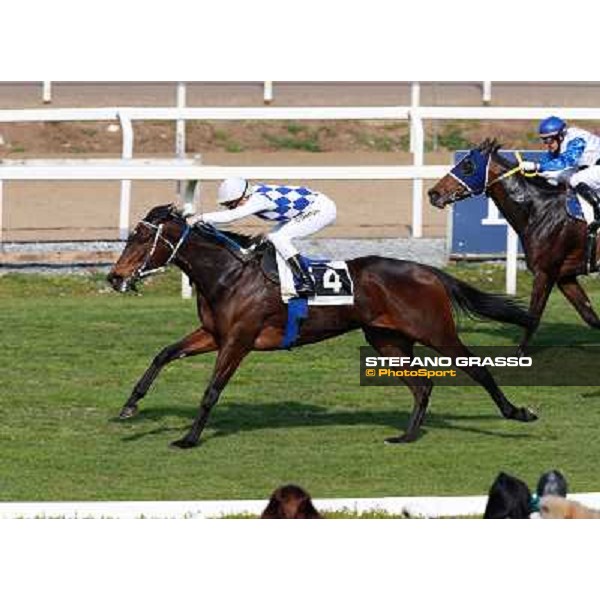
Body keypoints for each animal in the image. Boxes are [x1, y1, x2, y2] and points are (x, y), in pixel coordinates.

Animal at [105, 204, 536, 448]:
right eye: (129, 236)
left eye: (141, 238)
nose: (114, 277)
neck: (228, 274)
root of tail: (429, 272)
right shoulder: (214, 335)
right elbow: (163, 354)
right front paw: (129, 407)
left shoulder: (238, 340)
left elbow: (212, 390)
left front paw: (189, 438)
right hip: (388, 341)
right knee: (423, 385)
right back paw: (407, 435)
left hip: (435, 332)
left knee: (477, 369)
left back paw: (517, 413)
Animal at [428, 139, 596, 356]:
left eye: (468, 166)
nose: (433, 193)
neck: (538, 210)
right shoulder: (564, 276)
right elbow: (590, 316)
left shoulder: (545, 272)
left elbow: (533, 318)